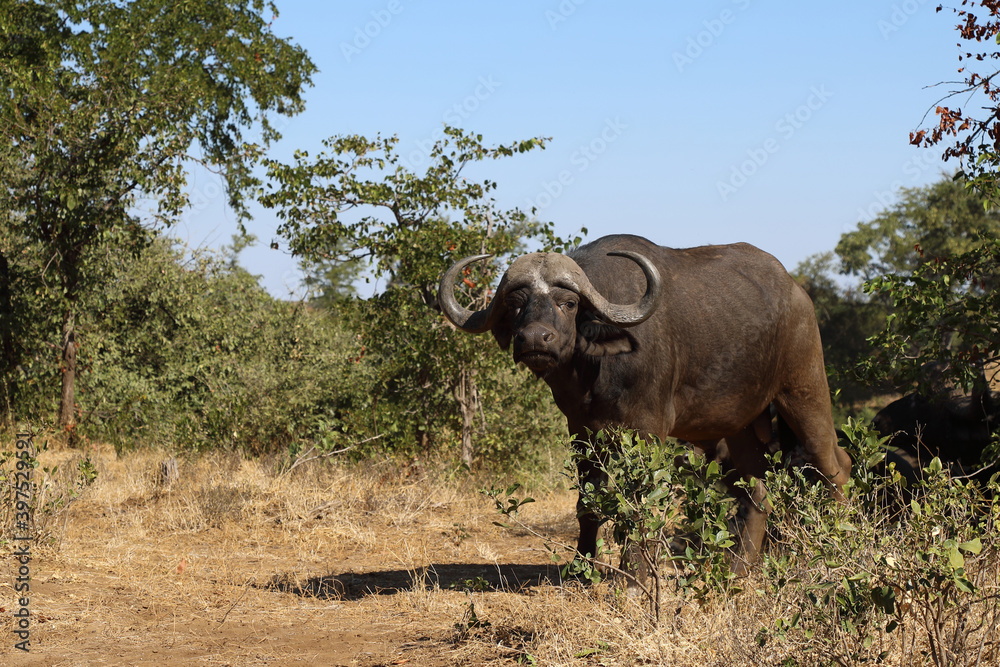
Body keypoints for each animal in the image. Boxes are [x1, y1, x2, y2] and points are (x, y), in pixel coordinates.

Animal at [439, 234, 852, 575]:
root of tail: (799, 295)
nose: (535, 339)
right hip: (740, 426)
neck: (594, 369)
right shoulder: (581, 432)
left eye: (568, 303)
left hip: (804, 389)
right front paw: (580, 570)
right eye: (515, 303)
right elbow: (587, 503)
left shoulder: (647, 431)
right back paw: (739, 568)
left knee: (834, 466)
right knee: (756, 490)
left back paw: (833, 554)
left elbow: (639, 499)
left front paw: (634, 578)